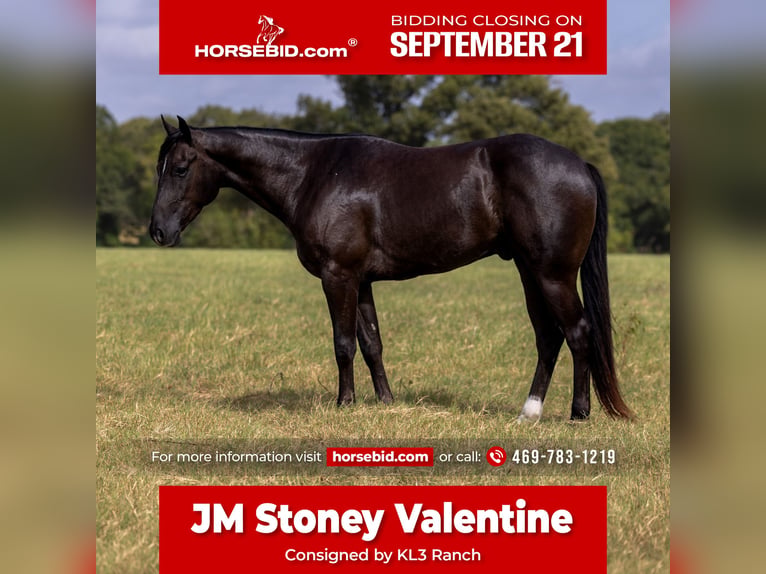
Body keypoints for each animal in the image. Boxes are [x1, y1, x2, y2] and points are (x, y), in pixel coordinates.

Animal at [150, 116, 633, 422]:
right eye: (160, 167)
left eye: (180, 168)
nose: (158, 231)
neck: (313, 174)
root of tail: (579, 165)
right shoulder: (361, 280)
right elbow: (371, 344)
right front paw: (385, 402)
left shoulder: (338, 276)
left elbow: (343, 343)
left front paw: (345, 404)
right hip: (530, 273)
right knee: (549, 337)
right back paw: (529, 412)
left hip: (552, 275)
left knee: (577, 332)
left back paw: (578, 413)